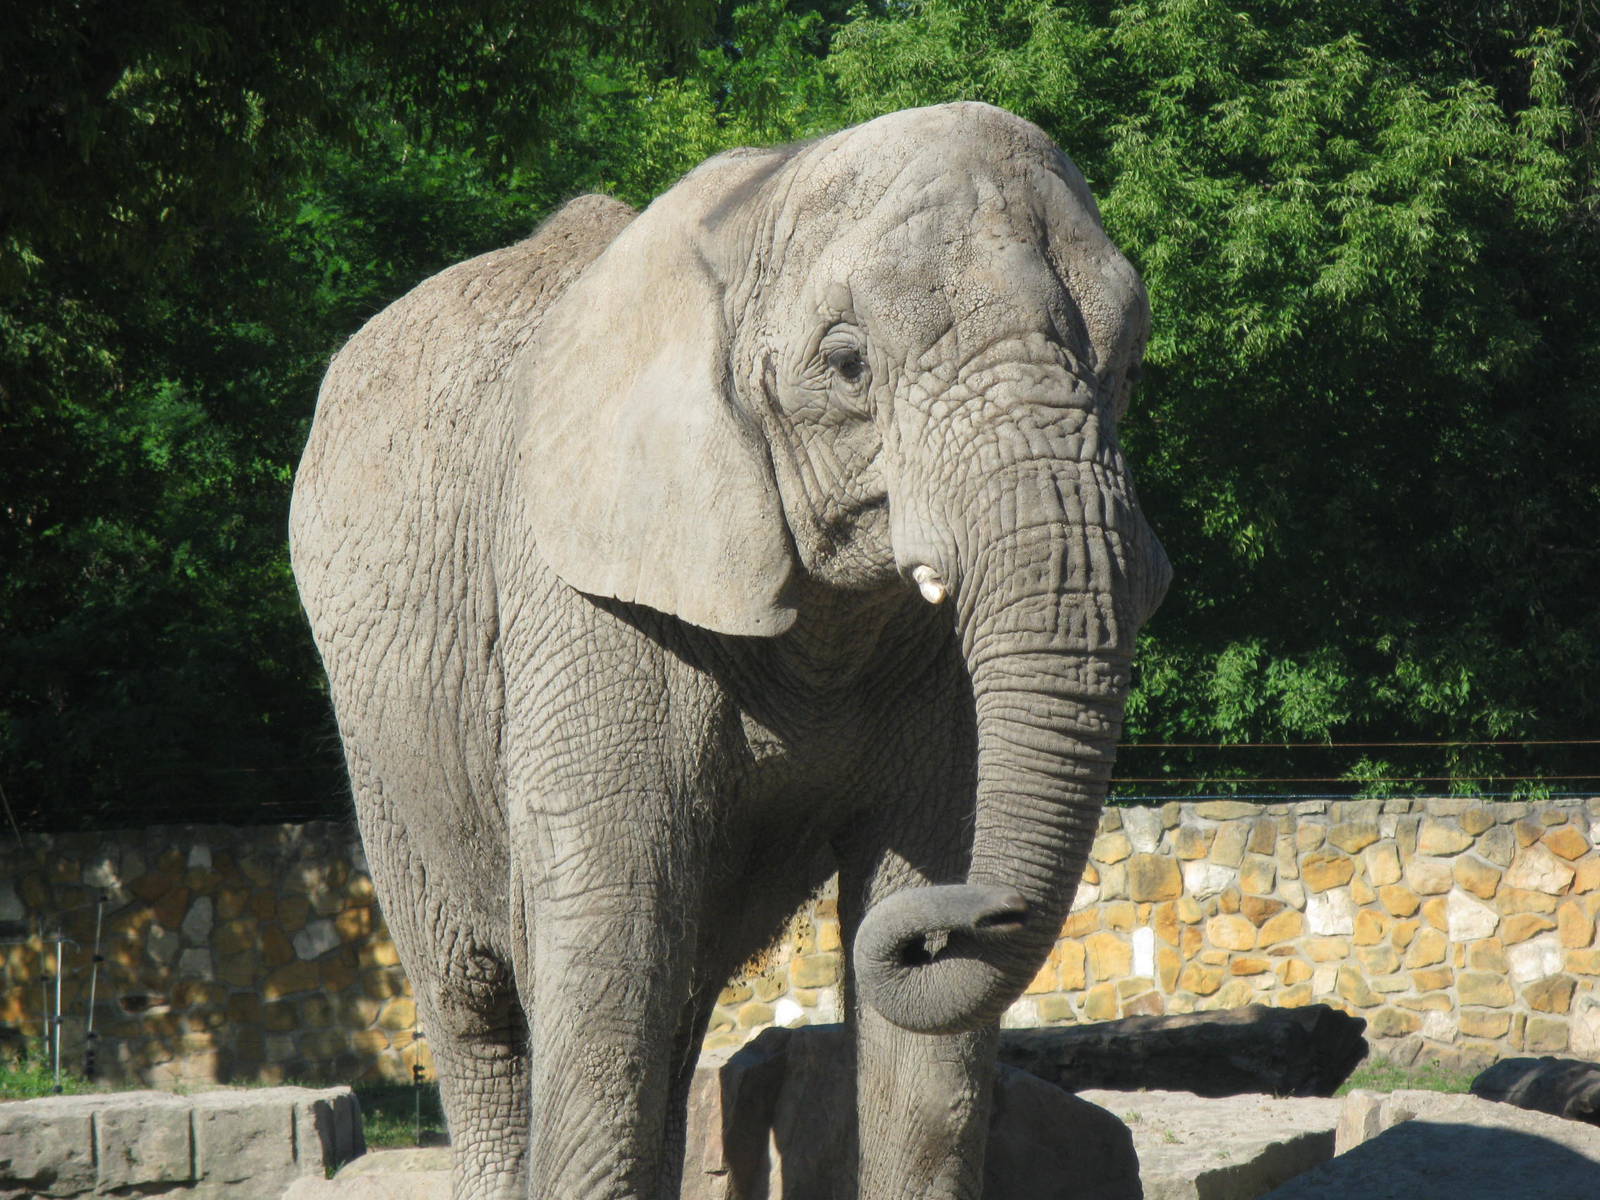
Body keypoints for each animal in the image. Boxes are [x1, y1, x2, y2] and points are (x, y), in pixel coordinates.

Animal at [289, 102, 1169, 1199]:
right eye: (848, 364)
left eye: (1128, 368)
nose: (942, 932)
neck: (757, 206)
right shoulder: (583, 595)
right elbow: (608, 938)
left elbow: (923, 1042)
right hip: (382, 740)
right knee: (482, 1005)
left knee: (678, 1006)